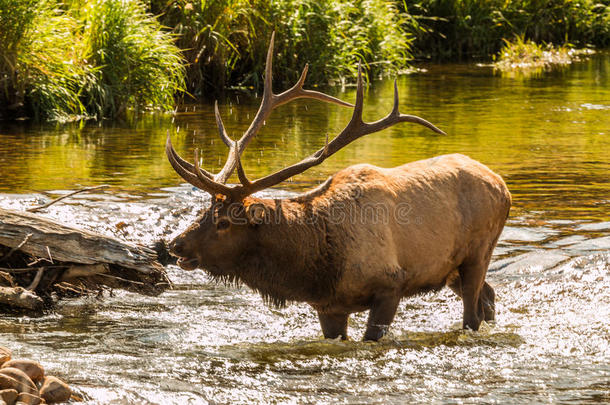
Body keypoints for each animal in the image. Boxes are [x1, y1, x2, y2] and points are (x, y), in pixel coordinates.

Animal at [165, 33, 508, 340]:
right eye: (203, 212)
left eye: (224, 222)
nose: (175, 244)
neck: (318, 266)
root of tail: (502, 186)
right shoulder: (329, 307)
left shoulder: (391, 284)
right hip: (449, 268)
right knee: (489, 295)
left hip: (479, 252)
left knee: (473, 313)